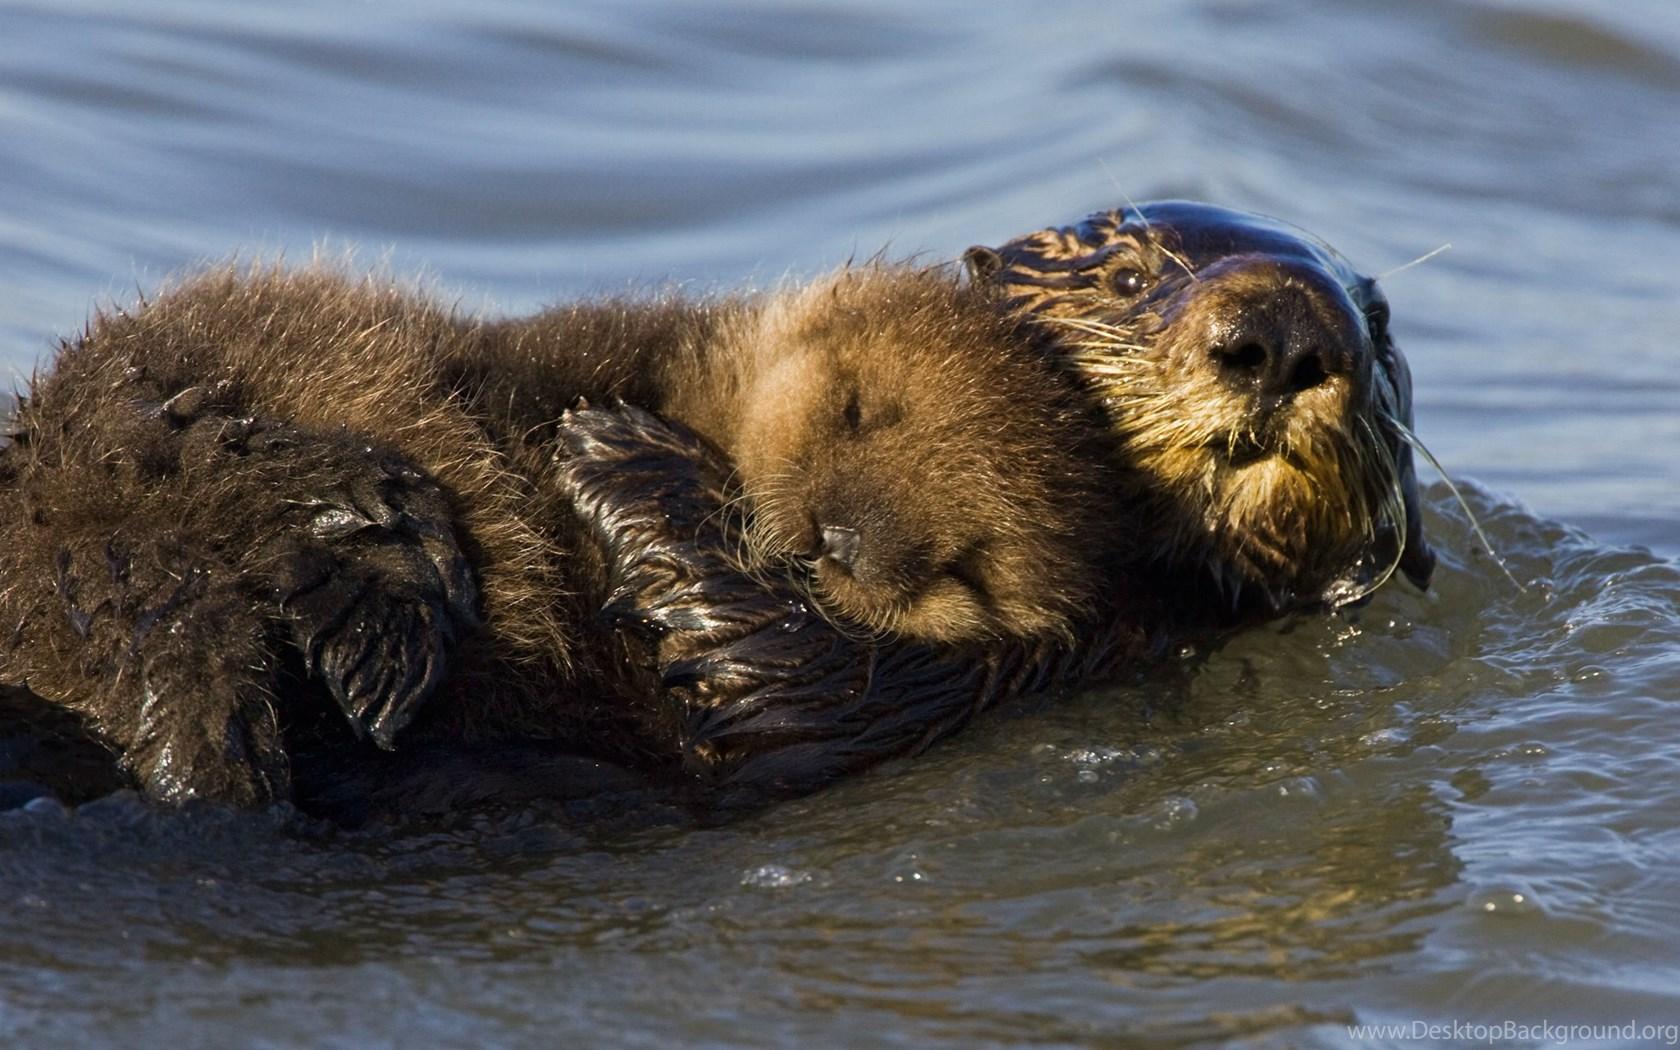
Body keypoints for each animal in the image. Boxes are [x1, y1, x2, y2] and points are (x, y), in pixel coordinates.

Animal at [0, 202, 1432, 815]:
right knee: (141, 419)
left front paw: (618, 460)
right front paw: (595, 442)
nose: (1287, 338)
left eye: (963, 571)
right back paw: (356, 530)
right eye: (857, 413)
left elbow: (756, 687)